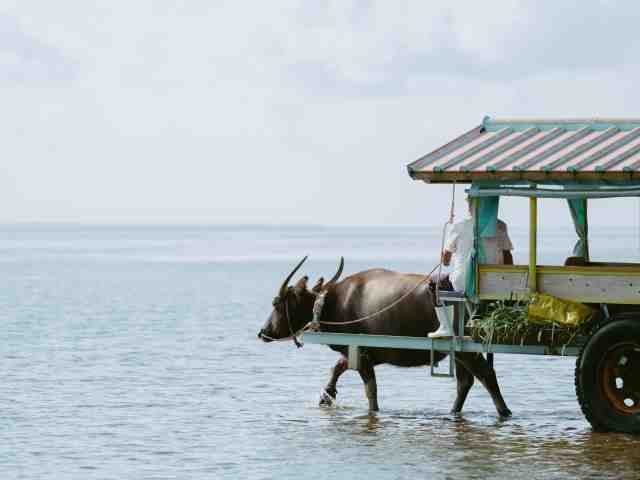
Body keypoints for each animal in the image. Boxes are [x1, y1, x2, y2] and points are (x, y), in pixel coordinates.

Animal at [255, 256, 510, 418]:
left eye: (276, 303)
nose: (263, 332)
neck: (333, 303)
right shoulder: (359, 353)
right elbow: (337, 368)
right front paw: (326, 396)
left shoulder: (361, 354)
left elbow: (371, 391)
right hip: (458, 352)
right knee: (465, 382)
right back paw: (453, 412)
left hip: (467, 350)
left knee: (486, 374)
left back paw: (504, 412)